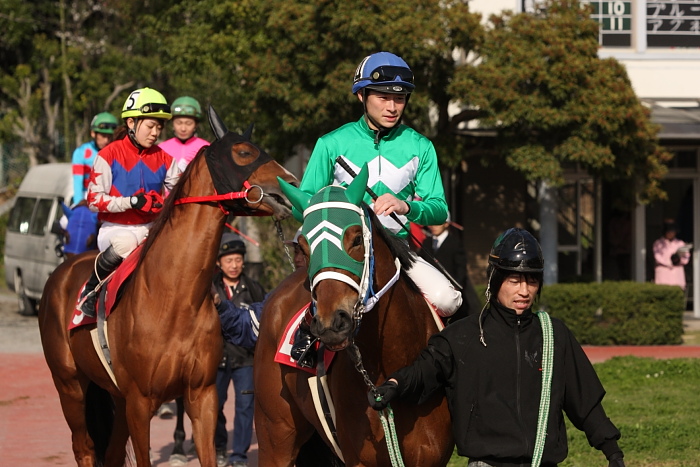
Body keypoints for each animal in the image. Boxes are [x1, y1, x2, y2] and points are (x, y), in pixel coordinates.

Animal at [37, 107, 298, 467]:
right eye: (244, 152)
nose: (293, 183)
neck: (173, 298)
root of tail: (62, 271)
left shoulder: (201, 394)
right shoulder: (139, 401)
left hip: (113, 395)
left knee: (112, 452)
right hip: (70, 386)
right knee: (84, 446)